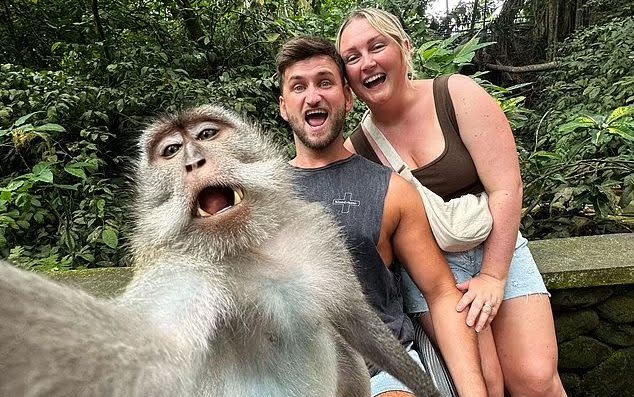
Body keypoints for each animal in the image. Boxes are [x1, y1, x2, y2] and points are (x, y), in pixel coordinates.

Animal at [0, 105, 440, 396]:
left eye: (207, 135)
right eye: (171, 151)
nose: (193, 161)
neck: (251, 246)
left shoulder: (318, 235)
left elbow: (354, 319)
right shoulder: (181, 265)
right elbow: (153, 343)